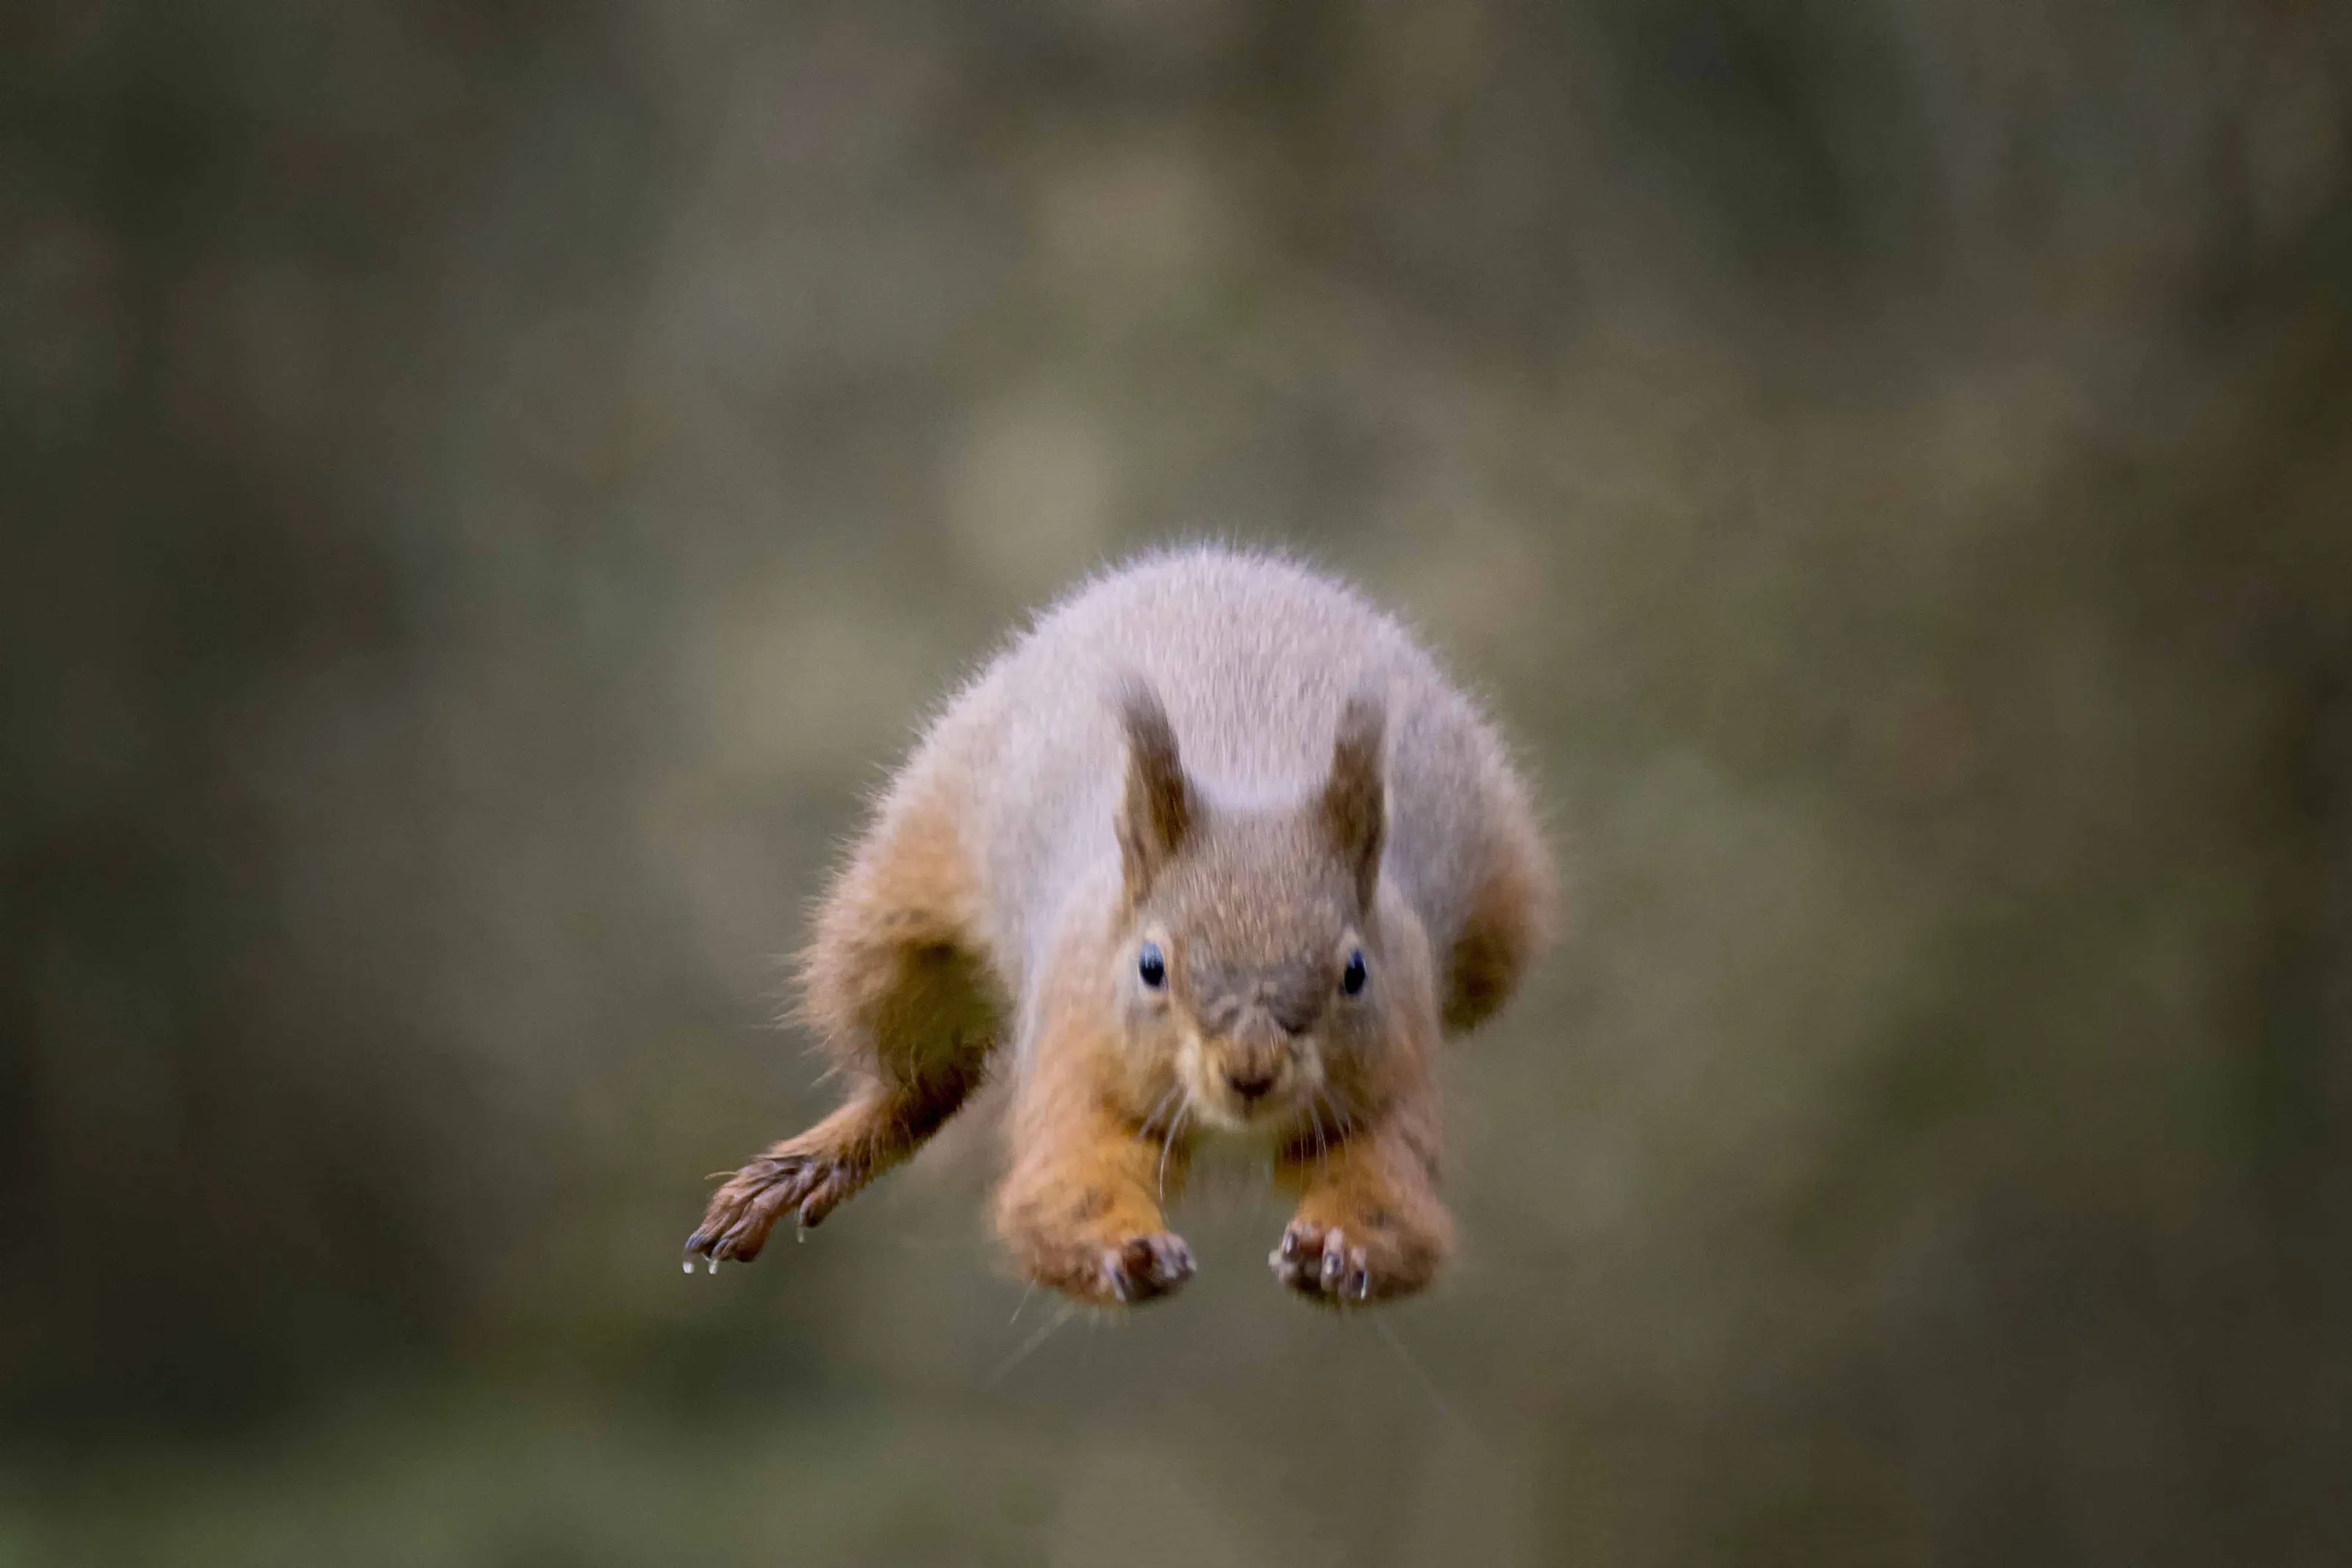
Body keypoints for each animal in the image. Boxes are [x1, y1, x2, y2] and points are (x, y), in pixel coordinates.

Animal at [686, 546, 1555, 1306]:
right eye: (1149, 966)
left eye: (1355, 972)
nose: (1250, 1071)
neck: (1253, 793)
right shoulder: (1073, 1054)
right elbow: (1058, 1192)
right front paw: (1125, 1253)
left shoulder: (1395, 1071)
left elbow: (1395, 1205)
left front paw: (1343, 1249)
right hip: (894, 926)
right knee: (922, 1083)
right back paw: (811, 1165)